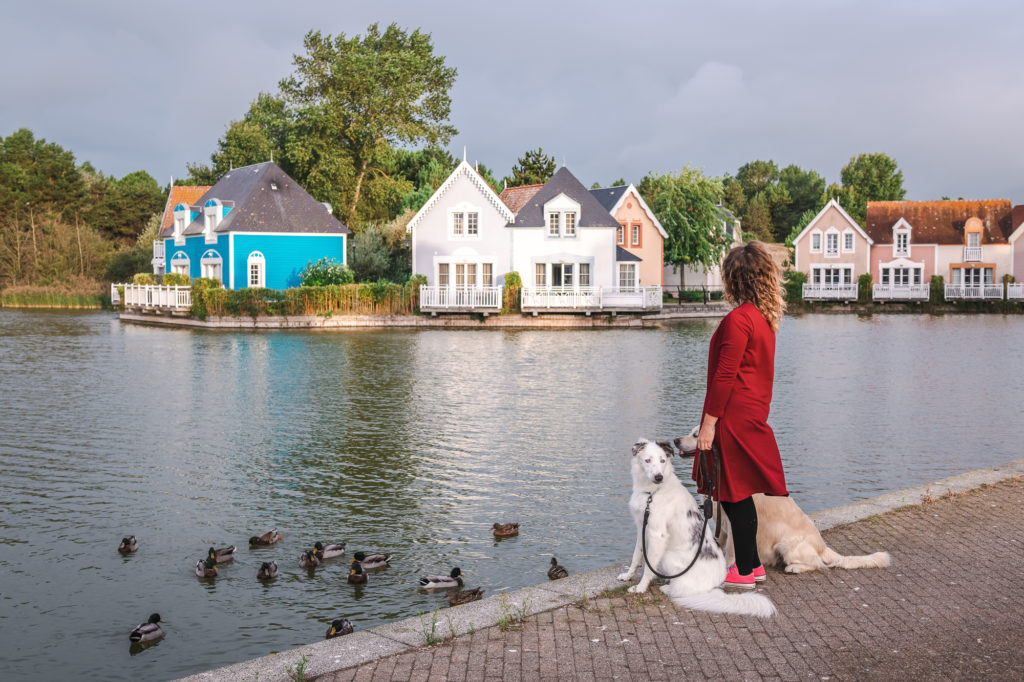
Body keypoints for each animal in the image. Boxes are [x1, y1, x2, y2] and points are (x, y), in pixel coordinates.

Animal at [614, 438, 774, 618]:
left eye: (663, 461)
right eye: (647, 460)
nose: (659, 477)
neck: (651, 493)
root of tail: (713, 587)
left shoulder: (657, 535)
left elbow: (649, 566)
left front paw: (641, 588)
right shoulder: (643, 528)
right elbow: (636, 557)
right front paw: (628, 576)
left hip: (667, 557)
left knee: (681, 589)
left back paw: (668, 587)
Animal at [671, 428, 888, 569]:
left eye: (696, 435)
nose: (675, 440)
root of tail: (823, 546)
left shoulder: (733, 523)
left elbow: (732, 550)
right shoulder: (720, 522)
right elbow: (718, 543)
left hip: (787, 545)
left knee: (817, 564)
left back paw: (793, 567)